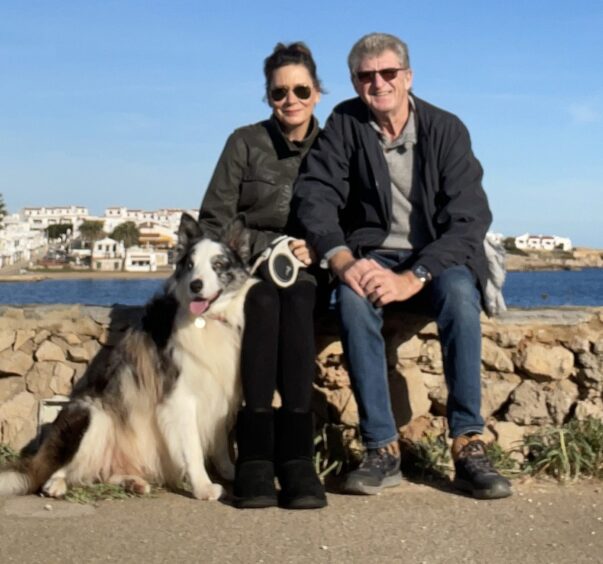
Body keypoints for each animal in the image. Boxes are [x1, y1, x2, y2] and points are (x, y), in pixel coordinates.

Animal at [0, 214, 258, 500]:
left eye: (218, 264)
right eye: (190, 265)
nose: (195, 285)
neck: (208, 320)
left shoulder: (220, 392)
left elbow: (221, 442)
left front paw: (230, 472)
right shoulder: (179, 398)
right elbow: (192, 449)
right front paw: (203, 487)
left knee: (102, 474)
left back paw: (133, 482)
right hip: (93, 414)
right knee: (51, 473)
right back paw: (56, 485)